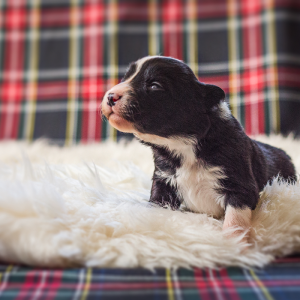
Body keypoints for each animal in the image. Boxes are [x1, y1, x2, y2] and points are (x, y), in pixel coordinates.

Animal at [101, 56, 296, 243]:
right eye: (124, 78)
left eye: (154, 85)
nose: (110, 96)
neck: (183, 144)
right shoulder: (164, 180)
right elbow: (157, 204)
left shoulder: (239, 184)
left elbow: (235, 218)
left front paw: (234, 243)